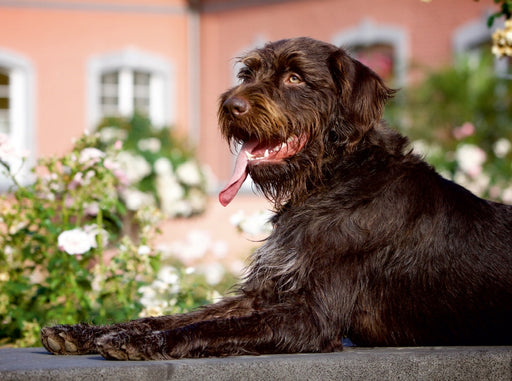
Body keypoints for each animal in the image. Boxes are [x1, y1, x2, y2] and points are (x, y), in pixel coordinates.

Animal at [41, 36, 512, 360]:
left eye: (295, 77)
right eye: (247, 74)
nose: (230, 105)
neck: (333, 179)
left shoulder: (313, 317)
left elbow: (209, 329)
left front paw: (149, 341)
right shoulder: (263, 293)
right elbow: (185, 314)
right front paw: (93, 331)